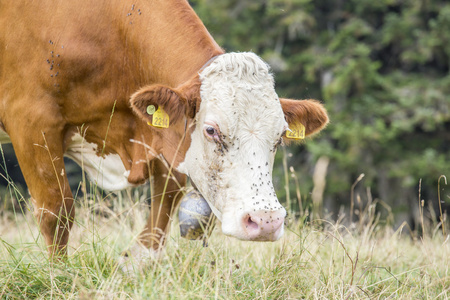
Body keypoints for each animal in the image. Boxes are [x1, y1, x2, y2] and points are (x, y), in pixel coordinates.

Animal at [0, 0, 328, 262]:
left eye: (280, 137)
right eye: (211, 130)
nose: (266, 221)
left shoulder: (165, 141)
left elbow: (161, 215)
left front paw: (135, 265)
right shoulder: (31, 121)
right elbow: (56, 212)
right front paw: (59, 276)